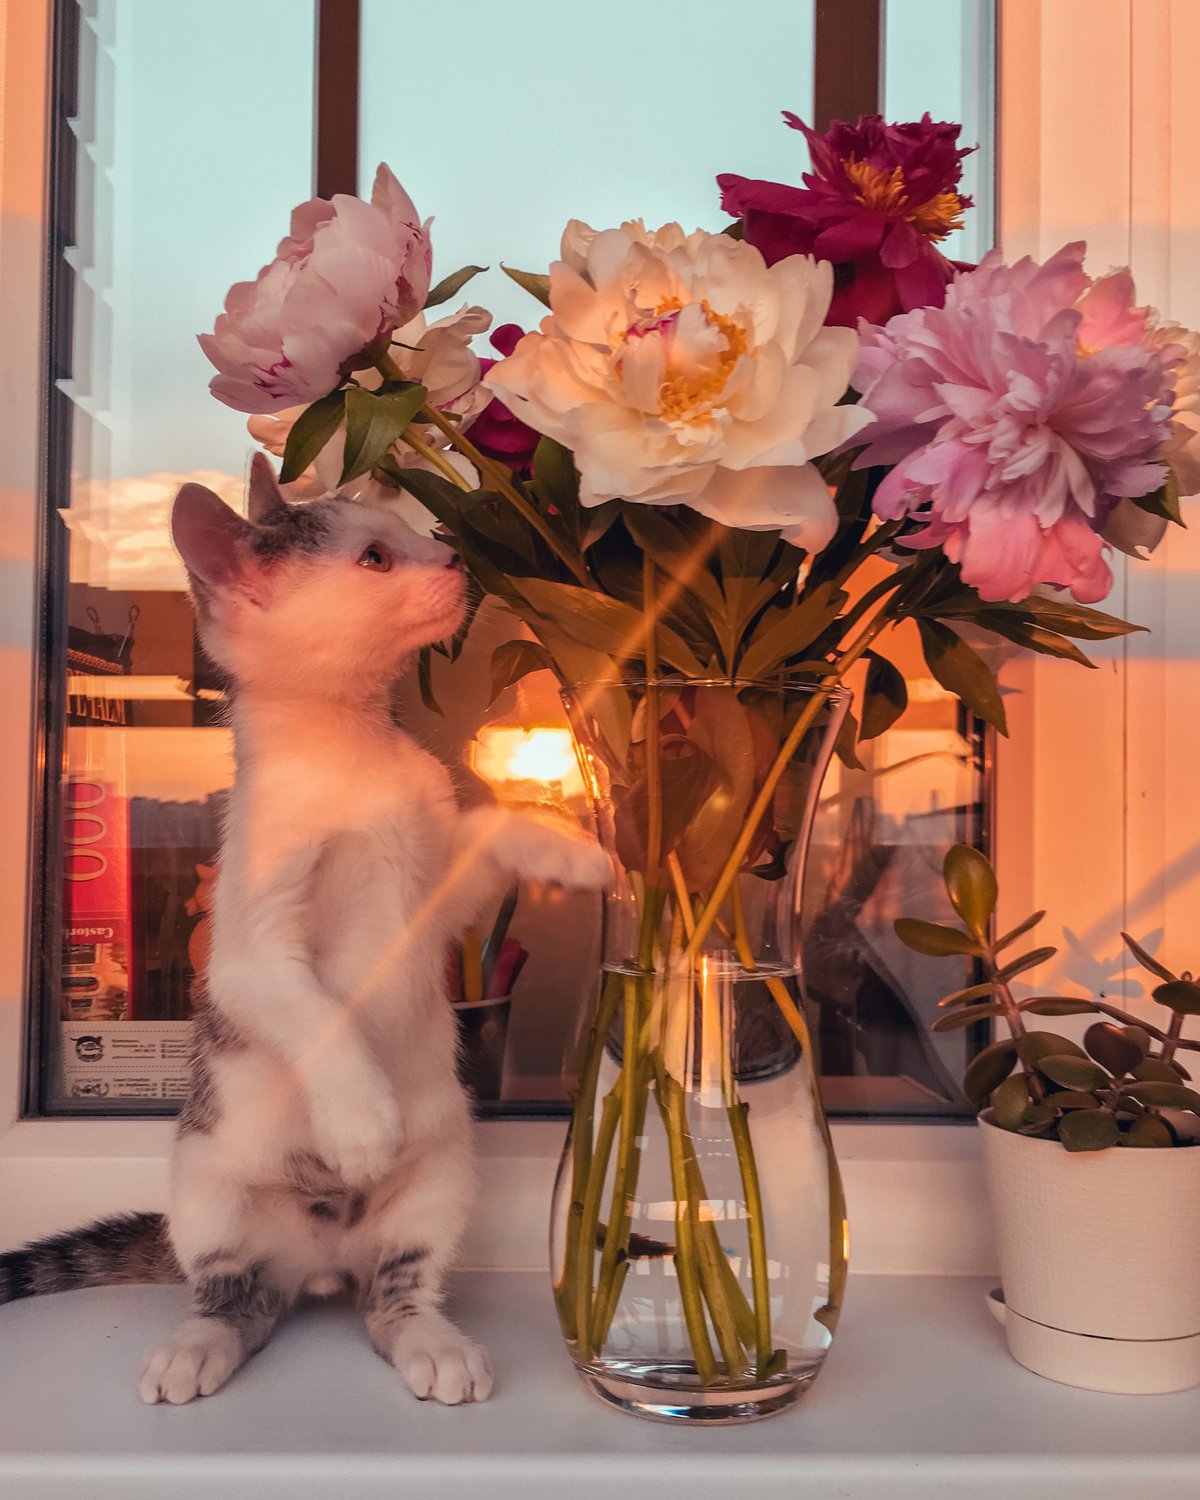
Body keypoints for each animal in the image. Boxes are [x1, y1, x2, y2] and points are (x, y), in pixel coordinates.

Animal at [0, 455, 609, 1407]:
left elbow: (489, 829)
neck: (352, 752)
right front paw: (359, 1120)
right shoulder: (250, 953)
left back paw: (430, 1341)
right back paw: (198, 1345)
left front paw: (564, 847)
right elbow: (315, 1014)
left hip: (440, 1181)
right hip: (206, 1190)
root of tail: (321, 1261)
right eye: (374, 558)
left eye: (407, 536)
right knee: (235, 1296)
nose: (452, 557)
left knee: (395, 1292)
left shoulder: (432, 894)